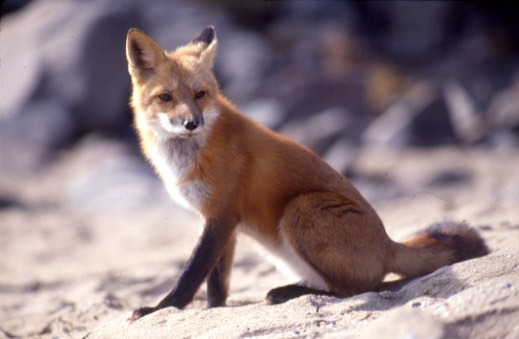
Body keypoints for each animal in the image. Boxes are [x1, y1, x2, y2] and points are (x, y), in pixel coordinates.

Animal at [124, 26, 490, 322]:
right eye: (166, 97)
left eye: (200, 95)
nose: (191, 123)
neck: (190, 154)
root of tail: (388, 244)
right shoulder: (221, 222)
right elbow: (216, 281)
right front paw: (214, 310)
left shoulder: (222, 214)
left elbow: (191, 273)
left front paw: (160, 309)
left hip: (301, 209)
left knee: (356, 289)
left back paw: (289, 293)